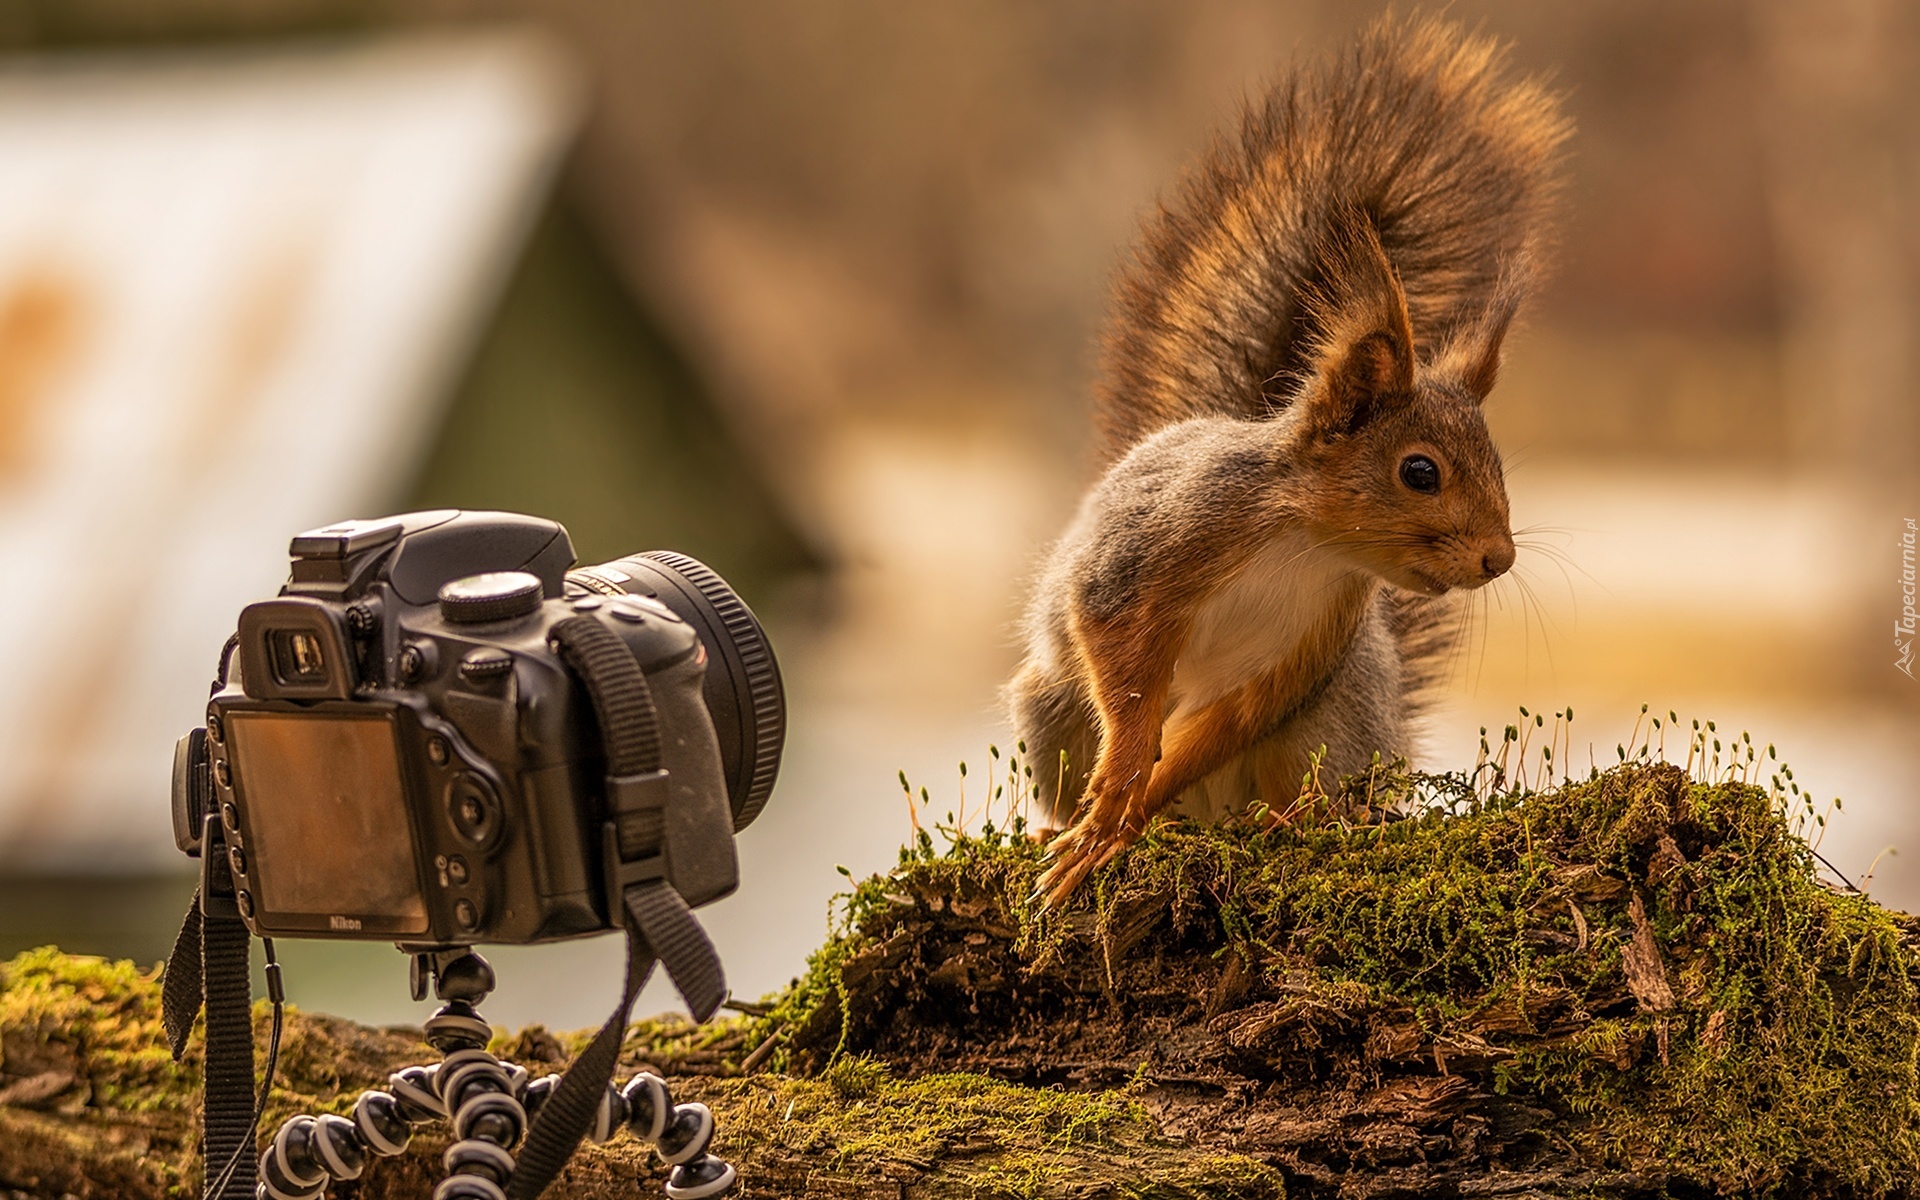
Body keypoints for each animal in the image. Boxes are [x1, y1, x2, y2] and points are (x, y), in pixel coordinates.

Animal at [1013, 14, 1566, 902]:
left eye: (1500, 465)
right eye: (1420, 471)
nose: (1499, 559)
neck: (1306, 542)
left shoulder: (1301, 652)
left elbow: (1224, 722)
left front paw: (1124, 820)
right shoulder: (1156, 553)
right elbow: (1122, 668)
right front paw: (1108, 812)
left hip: (1328, 732)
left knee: (1292, 790)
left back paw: (1285, 821)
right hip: (1051, 711)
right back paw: (1062, 826)